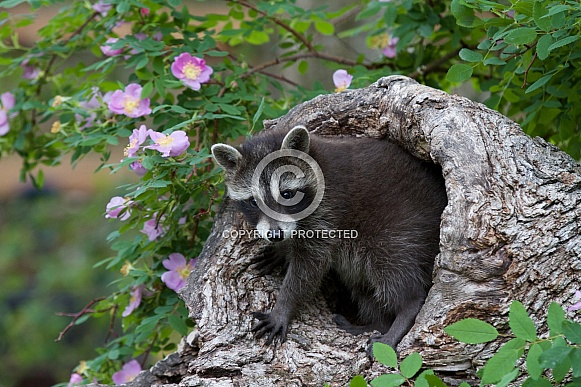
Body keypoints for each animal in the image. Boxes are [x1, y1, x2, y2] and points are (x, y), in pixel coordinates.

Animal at [211, 126, 446, 354]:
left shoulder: (329, 212)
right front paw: (282, 250)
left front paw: (283, 306)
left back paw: (406, 309)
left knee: (391, 269)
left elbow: (308, 268)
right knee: (362, 285)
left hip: (403, 229)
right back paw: (377, 323)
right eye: (253, 202)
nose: (275, 235)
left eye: (287, 194)